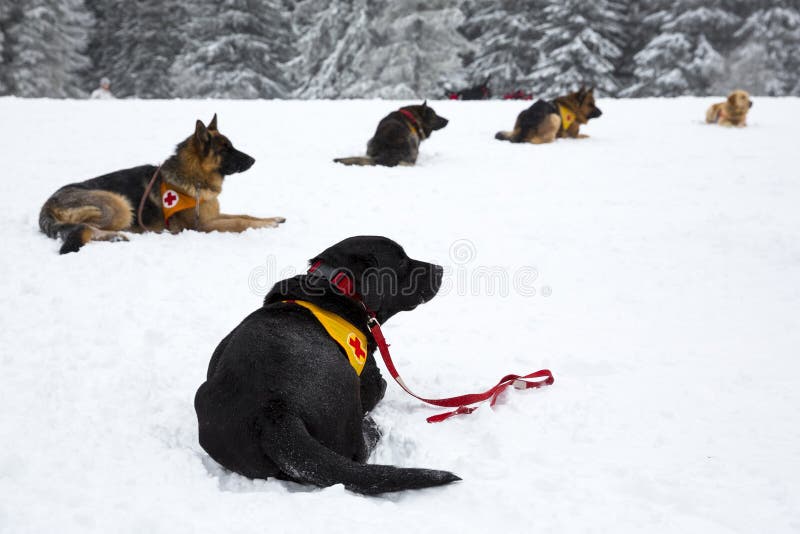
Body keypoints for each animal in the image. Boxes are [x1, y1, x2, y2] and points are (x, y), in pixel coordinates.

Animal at [195, 237, 462, 496]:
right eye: (402, 261)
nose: (440, 269)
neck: (337, 288)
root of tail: (274, 414)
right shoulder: (370, 378)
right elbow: (381, 385)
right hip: (346, 380)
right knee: (358, 452)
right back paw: (371, 427)